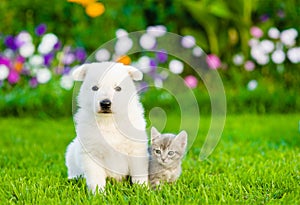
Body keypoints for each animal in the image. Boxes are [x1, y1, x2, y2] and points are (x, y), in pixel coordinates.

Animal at [66, 61, 149, 193]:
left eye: (118, 88)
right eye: (95, 88)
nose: (105, 103)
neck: (109, 122)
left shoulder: (136, 150)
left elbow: (139, 173)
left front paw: (143, 190)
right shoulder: (92, 153)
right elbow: (96, 178)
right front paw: (98, 194)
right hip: (71, 152)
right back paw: (73, 179)